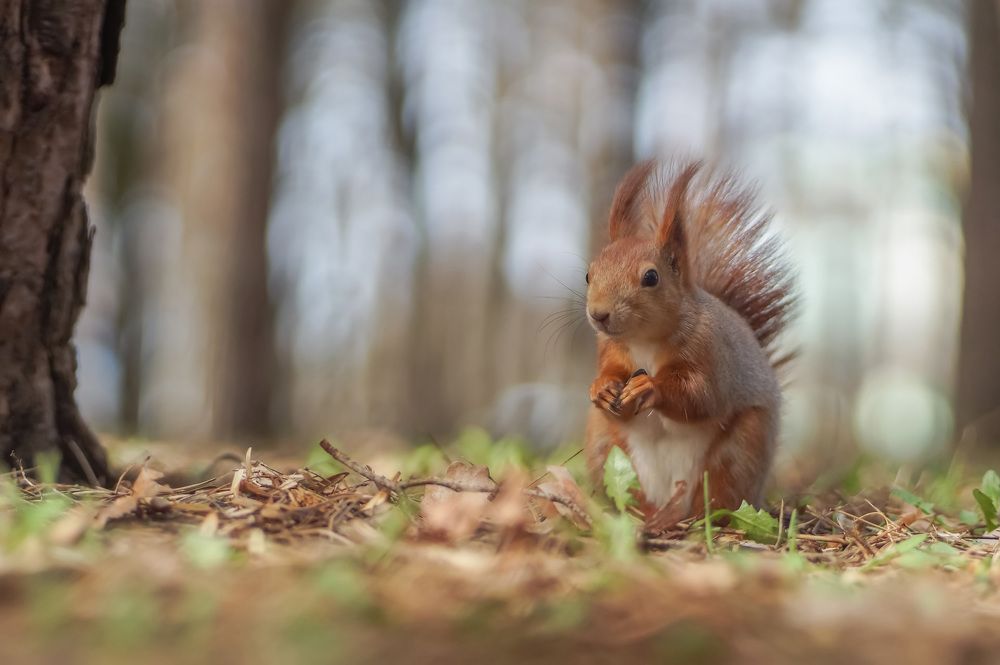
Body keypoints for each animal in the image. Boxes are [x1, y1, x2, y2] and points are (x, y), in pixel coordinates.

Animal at [584, 160, 796, 527]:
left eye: (651, 277)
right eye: (588, 274)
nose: (598, 314)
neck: (644, 341)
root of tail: (671, 502)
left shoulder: (710, 350)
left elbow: (701, 396)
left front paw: (650, 388)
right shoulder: (611, 349)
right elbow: (612, 375)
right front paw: (603, 388)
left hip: (739, 452)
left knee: (718, 498)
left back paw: (697, 519)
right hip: (606, 445)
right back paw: (646, 517)